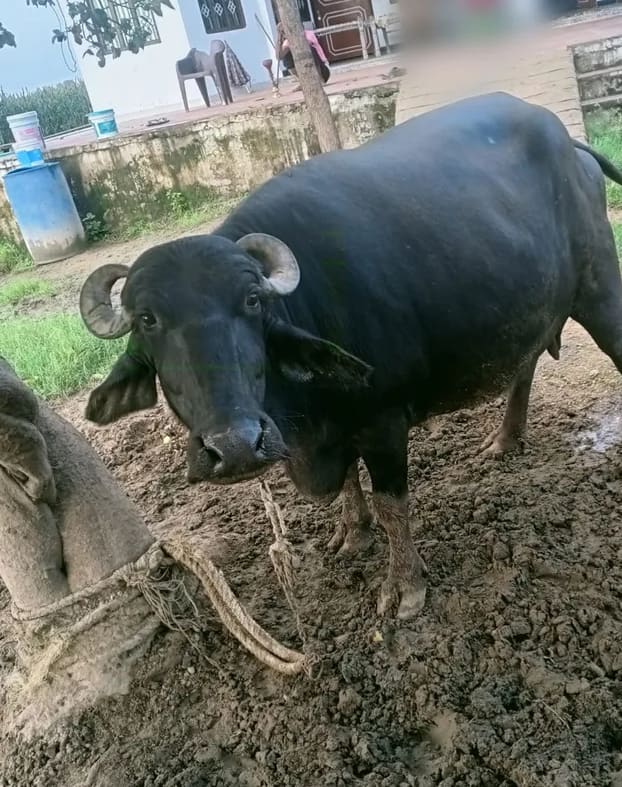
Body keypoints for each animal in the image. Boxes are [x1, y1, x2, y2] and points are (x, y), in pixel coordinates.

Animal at [80, 93, 622, 618]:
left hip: (600, 292)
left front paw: (404, 587)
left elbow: (391, 504)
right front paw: (352, 533)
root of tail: (572, 148)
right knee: (525, 362)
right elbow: (347, 486)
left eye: (252, 301)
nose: (235, 446)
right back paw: (505, 440)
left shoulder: (383, 421)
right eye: (147, 320)